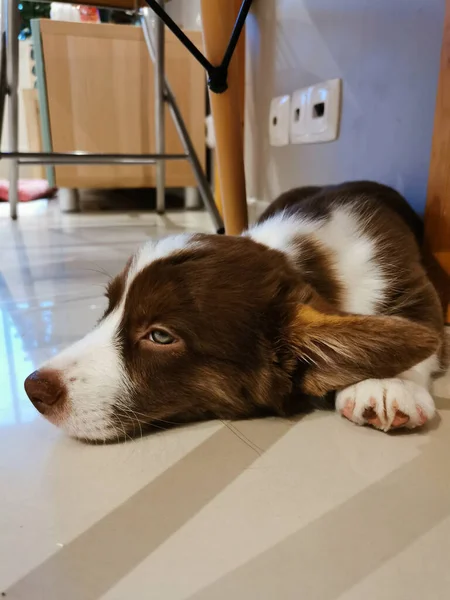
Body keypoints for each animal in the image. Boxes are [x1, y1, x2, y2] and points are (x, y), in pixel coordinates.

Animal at [25, 179, 450, 440]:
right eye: (108, 307)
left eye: (160, 336)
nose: (32, 389)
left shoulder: (410, 280)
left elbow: (427, 328)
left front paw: (388, 385)